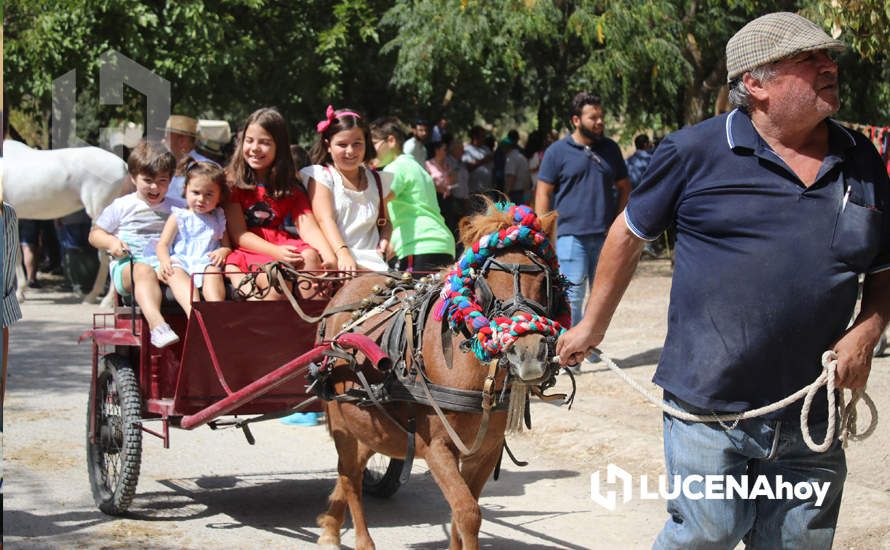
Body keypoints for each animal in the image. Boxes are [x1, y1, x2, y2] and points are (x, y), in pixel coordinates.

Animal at [316, 207, 560, 550]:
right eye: (486, 281)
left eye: (542, 279)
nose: (528, 352)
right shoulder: (436, 448)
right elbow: (468, 513)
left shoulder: (485, 452)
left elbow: (461, 513)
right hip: (341, 420)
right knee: (351, 477)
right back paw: (361, 541)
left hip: (369, 425)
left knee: (350, 470)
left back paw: (330, 526)